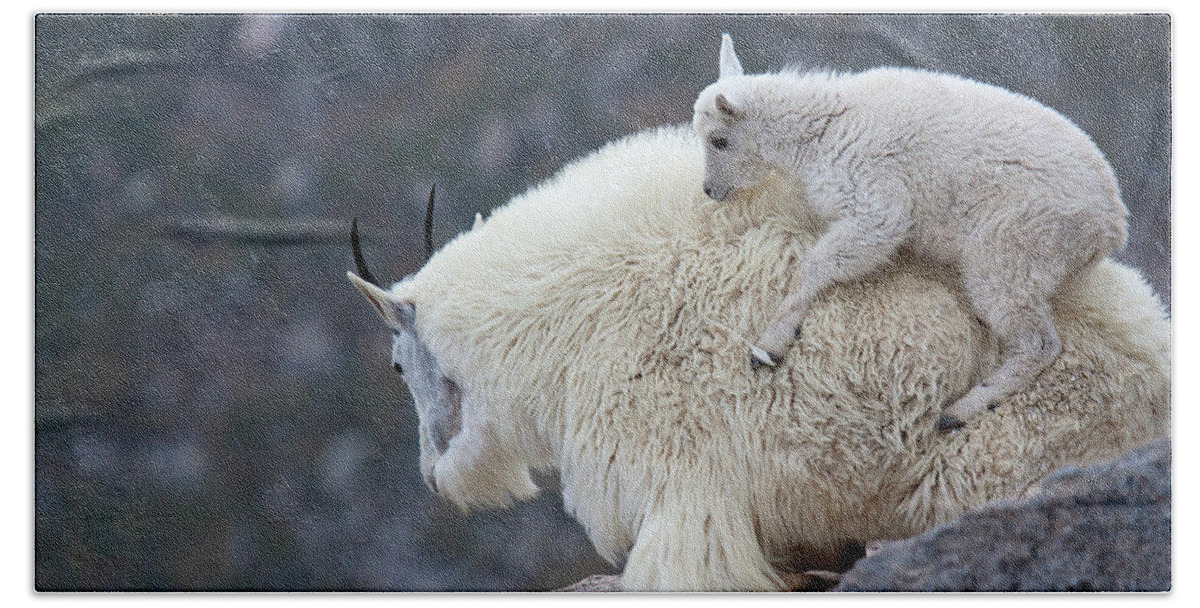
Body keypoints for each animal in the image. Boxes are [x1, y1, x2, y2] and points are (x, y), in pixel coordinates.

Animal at [343, 125, 1166, 592]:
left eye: (396, 365)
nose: (432, 476)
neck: (563, 308)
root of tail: (1156, 365)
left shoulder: (681, 492)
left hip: (988, 461)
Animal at [691, 36, 1128, 429]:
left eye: (719, 140)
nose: (711, 190)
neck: (821, 129)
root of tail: (1111, 226)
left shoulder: (875, 201)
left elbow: (816, 264)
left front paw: (768, 347)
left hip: (1013, 246)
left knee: (1038, 342)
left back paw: (958, 412)